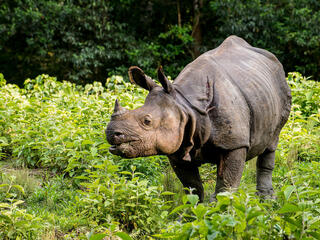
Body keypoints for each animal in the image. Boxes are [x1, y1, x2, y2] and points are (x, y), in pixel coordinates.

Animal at [106, 35, 292, 201]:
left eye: (147, 121)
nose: (111, 133)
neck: (184, 105)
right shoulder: (178, 146)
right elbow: (193, 187)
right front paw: (192, 212)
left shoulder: (235, 143)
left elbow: (226, 185)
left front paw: (220, 211)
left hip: (280, 86)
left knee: (272, 142)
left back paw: (267, 200)